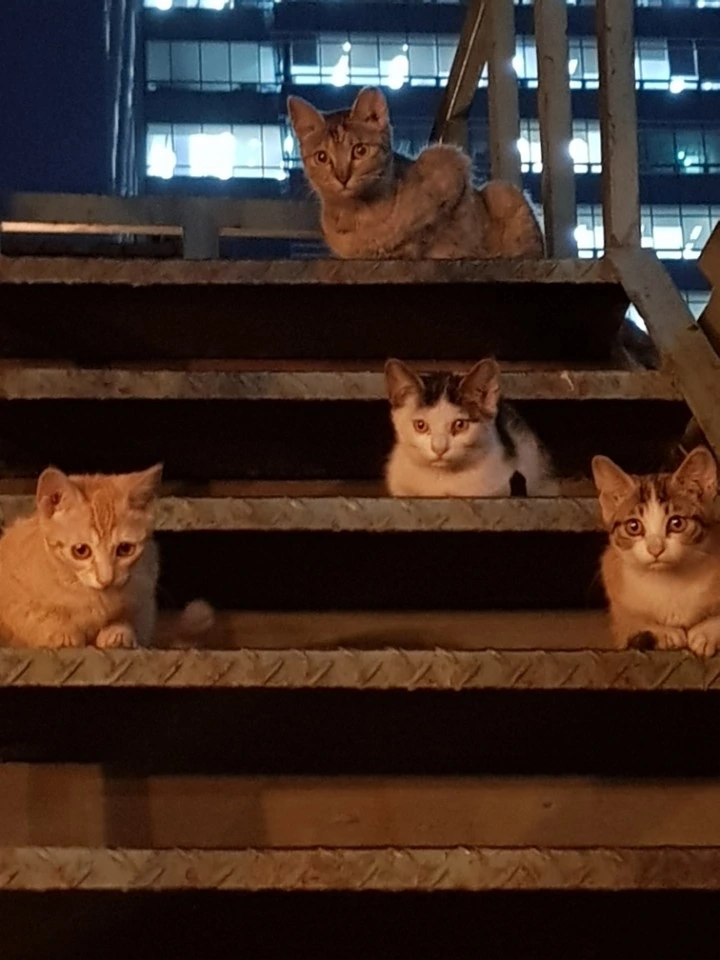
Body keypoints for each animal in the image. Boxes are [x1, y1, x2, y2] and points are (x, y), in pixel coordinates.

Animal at [0, 465, 213, 649]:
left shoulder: (145, 593)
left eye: (125, 549)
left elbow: (132, 616)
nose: (106, 578)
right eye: (81, 550)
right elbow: (36, 616)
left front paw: (119, 631)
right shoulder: (12, 592)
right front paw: (61, 632)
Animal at [287, 86, 544, 261]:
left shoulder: (450, 162)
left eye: (360, 150)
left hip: (503, 191)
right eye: (321, 157)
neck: (357, 216)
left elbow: (426, 233)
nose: (342, 177)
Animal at [592, 445, 720, 656]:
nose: (655, 548)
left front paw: (705, 632)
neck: (668, 581)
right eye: (633, 526)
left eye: (677, 523)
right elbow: (628, 622)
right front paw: (665, 632)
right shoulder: (612, 574)